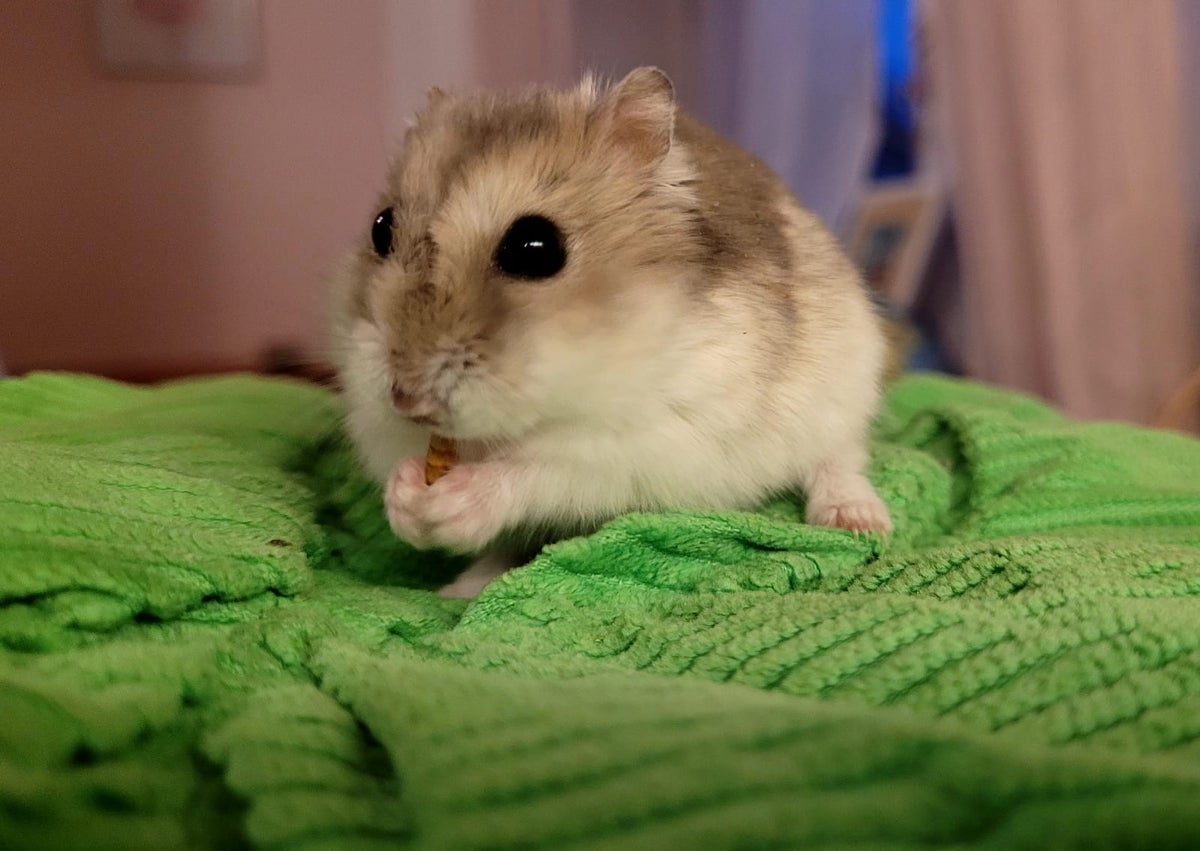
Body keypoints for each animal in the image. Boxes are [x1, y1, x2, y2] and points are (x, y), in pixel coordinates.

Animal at [328, 66, 892, 597]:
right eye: (381, 227)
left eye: (535, 248)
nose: (406, 401)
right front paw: (406, 497)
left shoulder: (646, 445)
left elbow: (539, 471)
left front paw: (454, 504)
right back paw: (461, 590)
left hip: (843, 391)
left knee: (839, 458)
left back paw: (859, 524)